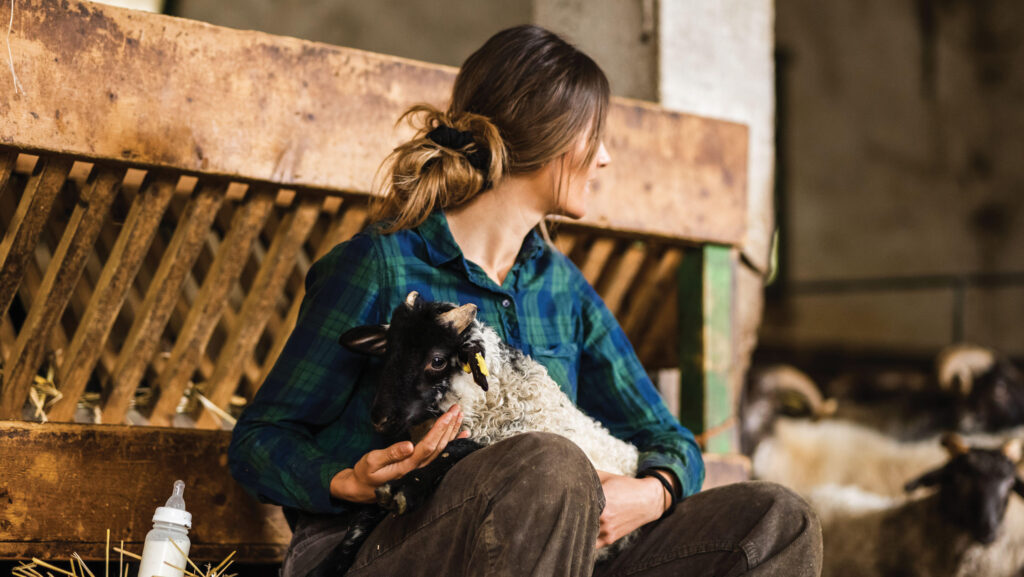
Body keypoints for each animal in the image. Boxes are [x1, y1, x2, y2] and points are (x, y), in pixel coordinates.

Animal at [315, 293, 643, 577]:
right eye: (388, 352)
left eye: (437, 360)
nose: (380, 419)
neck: (493, 398)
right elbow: (363, 520)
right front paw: (328, 565)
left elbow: (459, 450)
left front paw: (406, 488)